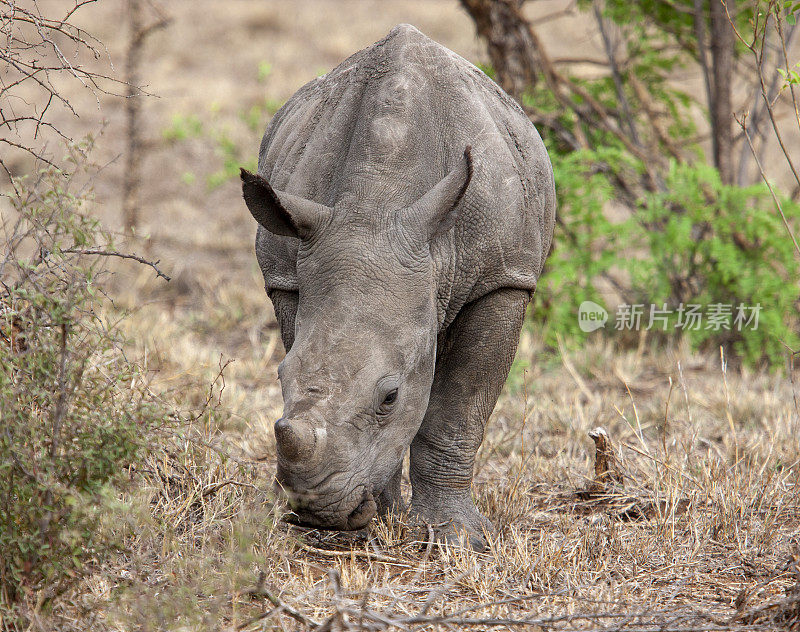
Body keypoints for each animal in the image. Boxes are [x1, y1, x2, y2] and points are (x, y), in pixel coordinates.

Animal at [242, 24, 556, 548]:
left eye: (389, 397)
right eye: (280, 378)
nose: (316, 510)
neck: (377, 204)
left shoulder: (503, 279)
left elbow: (457, 411)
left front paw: (455, 537)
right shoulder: (286, 277)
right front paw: (383, 515)